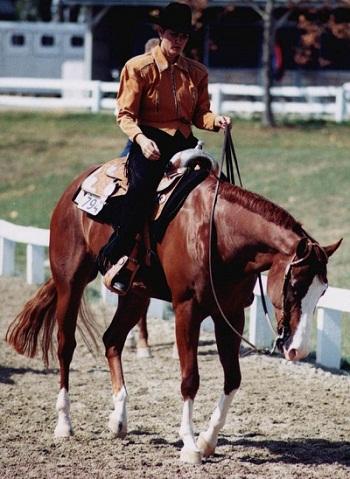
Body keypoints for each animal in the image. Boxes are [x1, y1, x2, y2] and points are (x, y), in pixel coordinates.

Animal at [5, 160, 340, 464]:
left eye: (323, 291)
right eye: (294, 285)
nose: (298, 350)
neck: (218, 234)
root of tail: (73, 189)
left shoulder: (230, 313)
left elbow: (233, 378)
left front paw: (207, 441)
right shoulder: (186, 310)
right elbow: (190, 378)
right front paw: (190, 446)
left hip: (135, 295)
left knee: (112, 339)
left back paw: (119, 420)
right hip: (70, 282)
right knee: (66, 346)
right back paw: (64, 424)